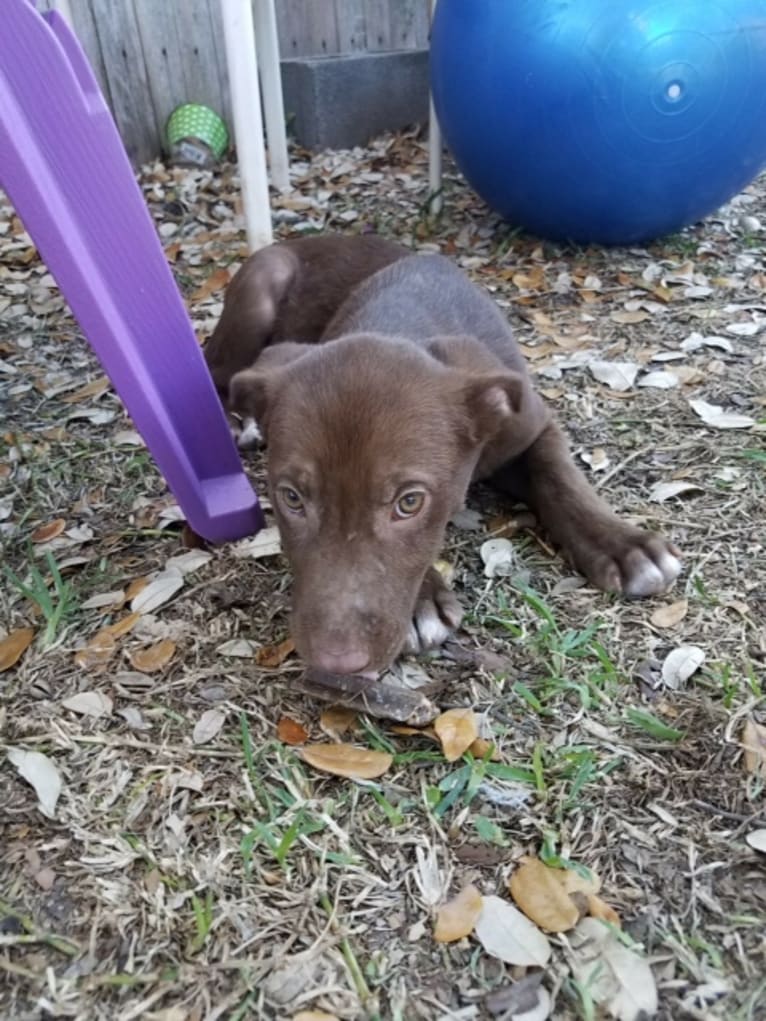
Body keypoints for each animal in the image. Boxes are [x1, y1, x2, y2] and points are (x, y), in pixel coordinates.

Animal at [211, 233, 682, 673]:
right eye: (291, 498)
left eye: (410, 502)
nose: (337, 663)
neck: (399, 321)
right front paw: (424, 600)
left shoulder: (529, 424)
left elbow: (561, 478)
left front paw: (624, 545)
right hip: (260, 287)